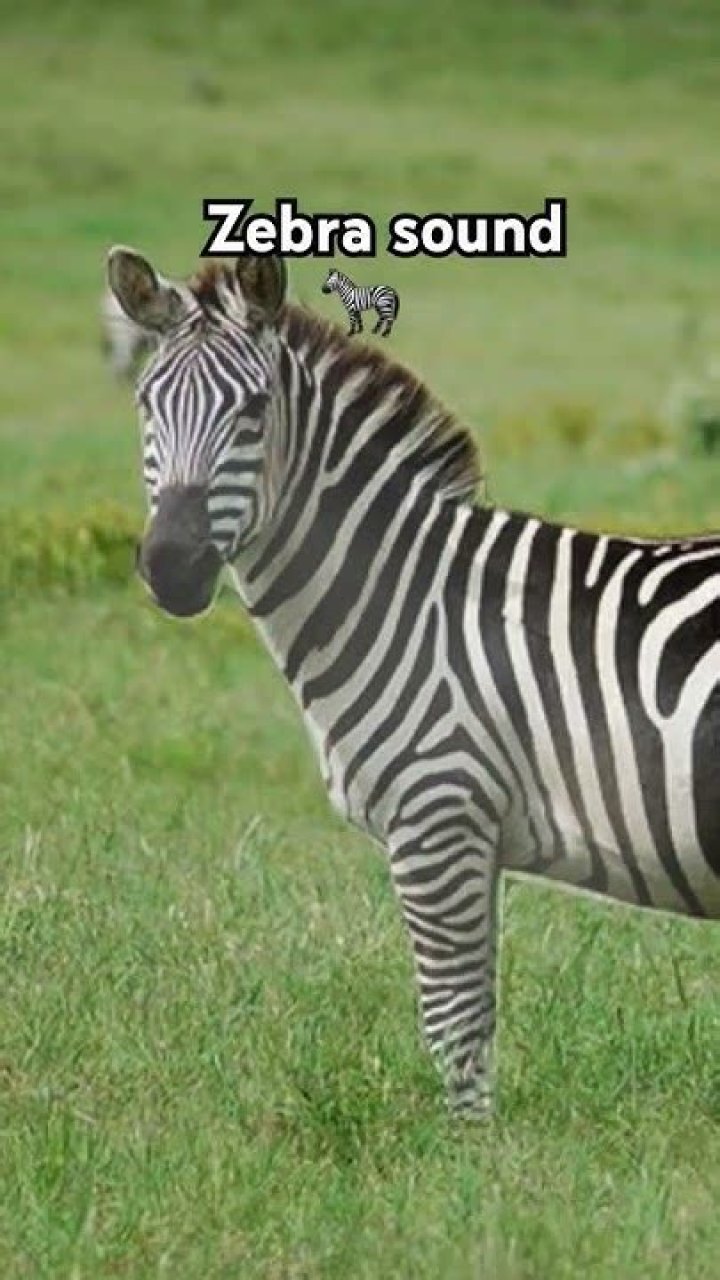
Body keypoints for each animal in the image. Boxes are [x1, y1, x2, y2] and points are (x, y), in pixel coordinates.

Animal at [107, 244, 720, 1118]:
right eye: (146, 406)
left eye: (254, 411)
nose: (172, 568)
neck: (404, 595)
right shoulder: (472, 834)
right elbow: (474, 1013)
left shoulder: (439, 816)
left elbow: (451, 1022)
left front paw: (472, 1153)